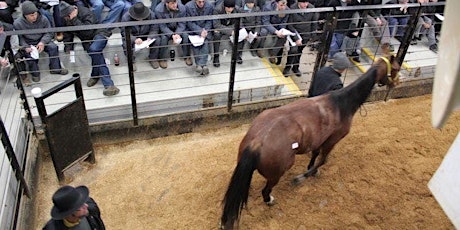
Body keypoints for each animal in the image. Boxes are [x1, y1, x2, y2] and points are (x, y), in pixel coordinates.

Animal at [219, 55, 398, 228]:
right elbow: (323, 160)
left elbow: (315, 154)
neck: (341, 103)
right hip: (277, 173)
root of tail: (257, 141)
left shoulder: (320, 140)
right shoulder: (332, 140)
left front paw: (310, 168)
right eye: (396, 67)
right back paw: (269, 200)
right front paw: (303, 176)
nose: (394, 83)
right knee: (266, 190)